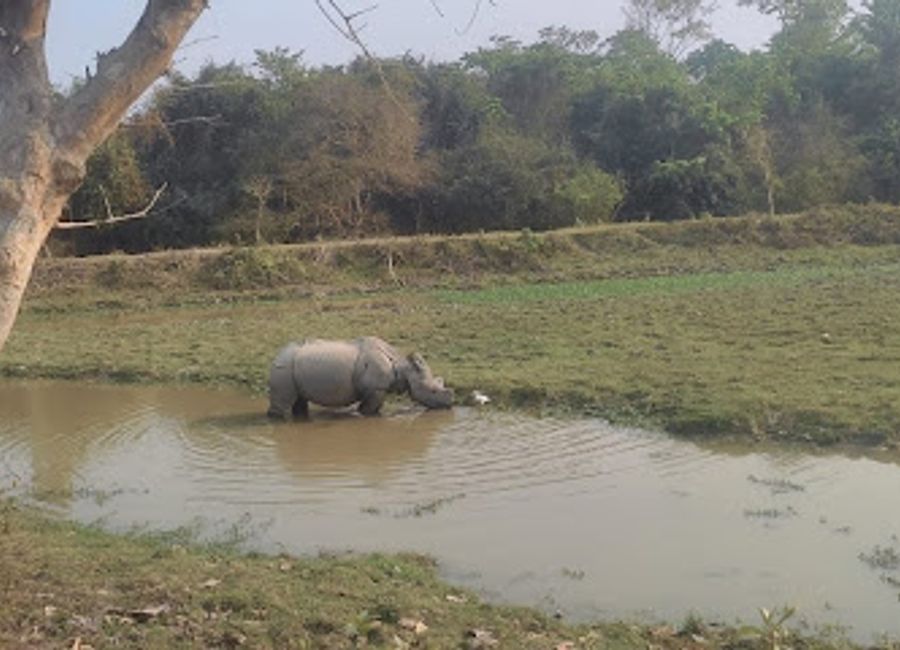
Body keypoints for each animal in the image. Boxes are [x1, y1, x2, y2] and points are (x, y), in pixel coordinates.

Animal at [267, 337, 453, 419]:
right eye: (433, 391)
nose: (450, 404)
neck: (403, 367)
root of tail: (277, 355)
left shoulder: (377, 388)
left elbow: (375, 407)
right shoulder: (376, 387)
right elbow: (368, 408)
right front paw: (364, 416)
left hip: (292, 366)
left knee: (300, 400)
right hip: (283, 367)